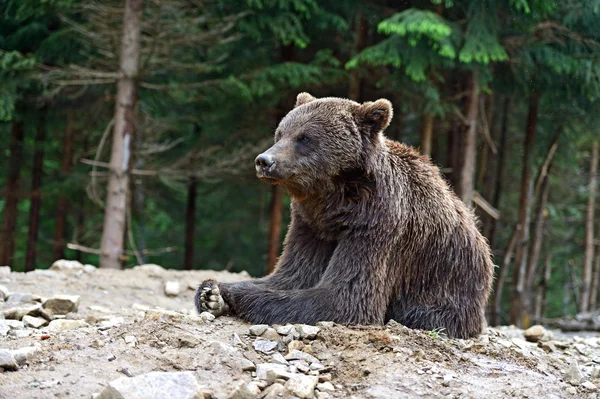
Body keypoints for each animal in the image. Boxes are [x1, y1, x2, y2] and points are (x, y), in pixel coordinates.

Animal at [195, 93, 494, 338]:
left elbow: (344, 298)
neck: (334, 201)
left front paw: (229, 293)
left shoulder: (378, 225)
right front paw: (211, 293)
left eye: (305, 137)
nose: (264, 161)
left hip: (447, 285)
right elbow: (291, 275)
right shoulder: (310, 225)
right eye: (280, 133)